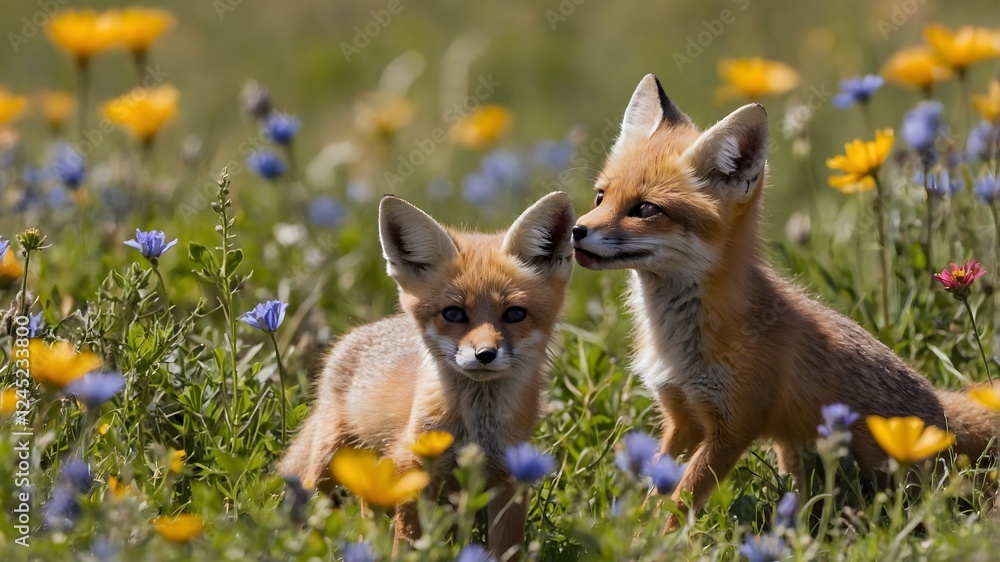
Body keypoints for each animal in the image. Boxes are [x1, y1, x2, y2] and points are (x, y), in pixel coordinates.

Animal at [277, 192, 576, 559]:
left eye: (515, 314)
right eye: (454, 313)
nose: (485, 354)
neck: (474, 429)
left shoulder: (509, 479)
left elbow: (507, 549)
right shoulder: (412, 468)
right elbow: (405, 545)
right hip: (329, 460)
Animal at [571, 74, 1000, 531]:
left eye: (646, 208)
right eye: (600, 197)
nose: (576, 230)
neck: (678, 342)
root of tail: (940, 411)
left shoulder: (732, 427)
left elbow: (678, 503)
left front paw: (656, 541)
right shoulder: (682, 417)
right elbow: (657, 488)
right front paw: (634, 530)